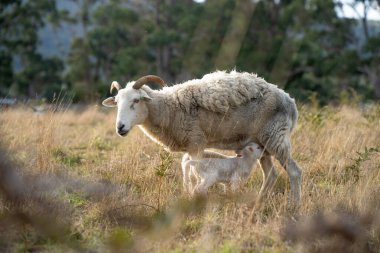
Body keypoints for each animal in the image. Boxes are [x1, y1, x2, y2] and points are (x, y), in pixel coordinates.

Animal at [101, 70, 302, 204]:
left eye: (136, 100)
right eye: (116, 103)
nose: (120, 127)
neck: (169, 109)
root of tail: (290, 102)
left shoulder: (197, 143)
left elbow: (194, 174)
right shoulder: (189, 146)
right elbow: (186, 171)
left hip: (276, 138)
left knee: (294, 172)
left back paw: (293, 205)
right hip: (263, 144)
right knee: (271, 175)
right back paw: (259, 201)